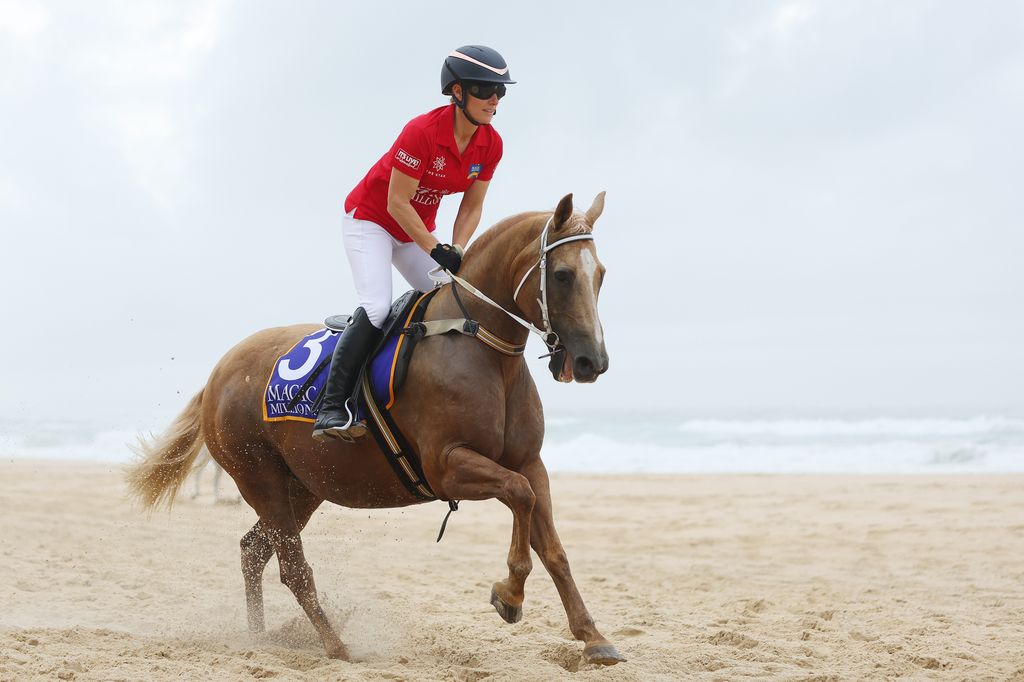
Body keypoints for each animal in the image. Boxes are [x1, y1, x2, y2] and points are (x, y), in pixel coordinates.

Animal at [126, 192, 625, 665]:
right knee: (292, 567)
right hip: (259, 477)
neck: (474, 340)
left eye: (600, 274)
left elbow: (552, 545)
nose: (592, 362)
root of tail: (218, 373)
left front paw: (593, 637)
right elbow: (519, 495)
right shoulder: (448, 466)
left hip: (303, 487)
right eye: (562, 275)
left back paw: (259, 638)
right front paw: (510, 594)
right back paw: (336, 646)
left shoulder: (529, 462)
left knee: (253, 550)